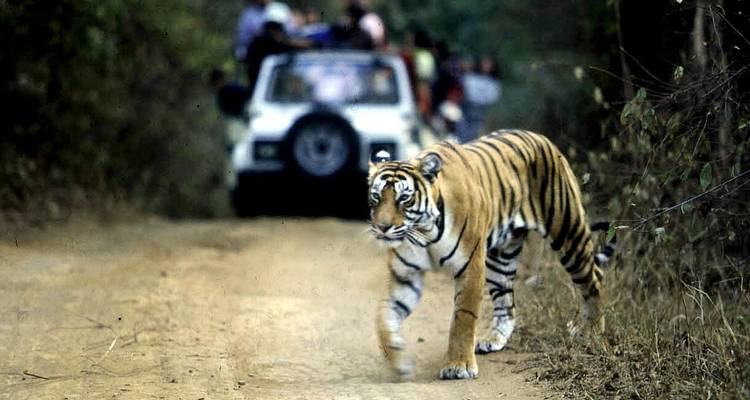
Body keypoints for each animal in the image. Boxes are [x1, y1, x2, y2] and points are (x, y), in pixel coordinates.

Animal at [367, 129, 616, 380]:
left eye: (404, 198)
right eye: (376, 197)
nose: (382, 227)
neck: (423, 232)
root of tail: (540, 137)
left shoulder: (470, 266)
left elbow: (463, 317)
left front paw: (458, 366)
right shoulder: (406, 277)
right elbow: (384, 316)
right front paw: (400, 363)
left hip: (568, 232)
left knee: (595, 278)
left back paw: (592, 330)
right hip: (500, 258)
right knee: (507, 303)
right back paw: (493, 339)